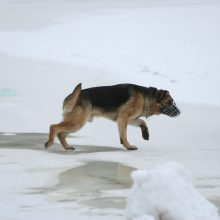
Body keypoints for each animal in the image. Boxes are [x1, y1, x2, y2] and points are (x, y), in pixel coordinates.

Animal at [44, 83, 180, 150]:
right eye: (170, 102)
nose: (179, 112)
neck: (147, 96)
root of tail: (72, 95)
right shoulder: (123, 118)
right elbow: (124, 134)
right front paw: (128, 146)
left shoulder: (130, 119)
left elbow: (142, 122)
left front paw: (145, 134)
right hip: (77, 122)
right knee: (54, 126)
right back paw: (49, 142)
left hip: (76, 123)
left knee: (61, 133)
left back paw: (67, 147)